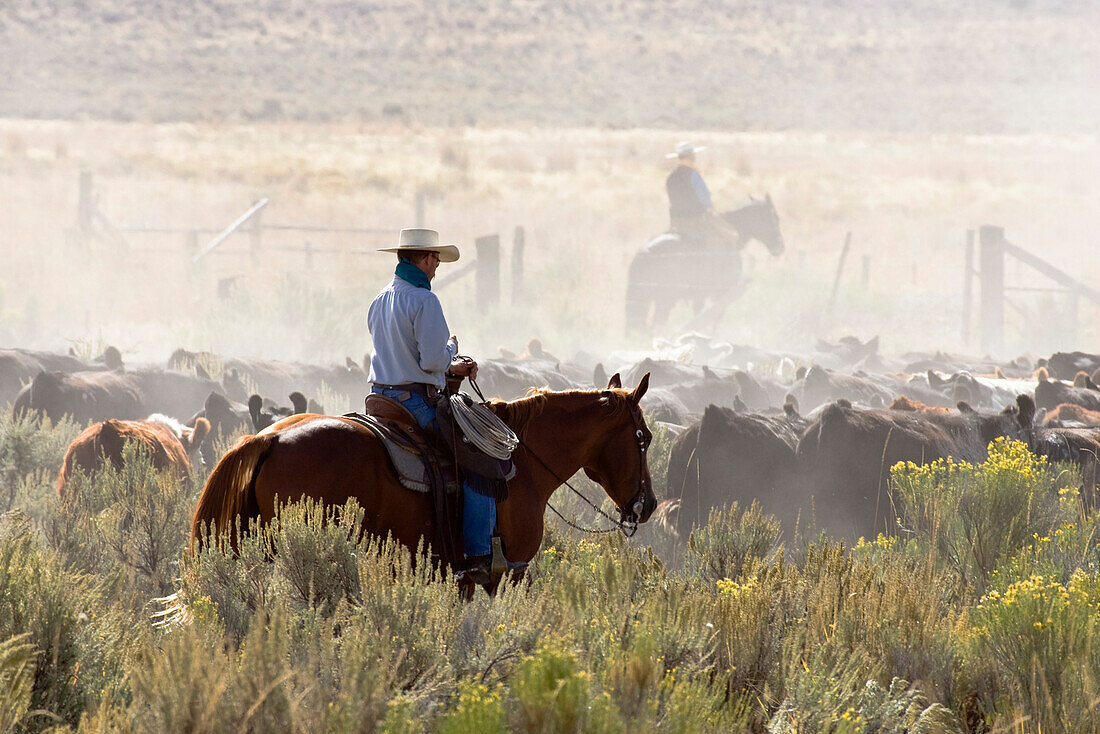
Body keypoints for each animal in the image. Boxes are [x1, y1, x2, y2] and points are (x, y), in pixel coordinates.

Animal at [624, 196, 787, 332]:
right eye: (774, 218)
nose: (780, 247)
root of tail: (645, 252)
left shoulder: (700, 298)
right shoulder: (720, 294)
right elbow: (713, 320)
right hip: (664, 301)